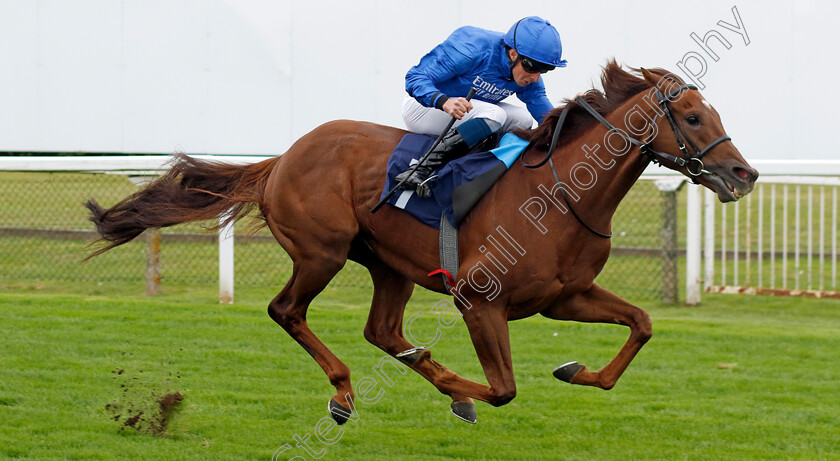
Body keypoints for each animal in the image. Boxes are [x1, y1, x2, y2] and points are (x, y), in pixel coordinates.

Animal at [88, 63, 756, 422]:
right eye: (693, 118)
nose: (743, 174)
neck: (563, 195)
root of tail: (282, 159)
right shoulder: (479, 299)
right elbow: (504, 389)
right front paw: (464, 392)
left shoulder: (565, 296)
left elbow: (641, 325)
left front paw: (576, 369)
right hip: (322, 252)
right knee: (287, 311)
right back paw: (345, 392)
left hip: (388, 264)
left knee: (382, 330)